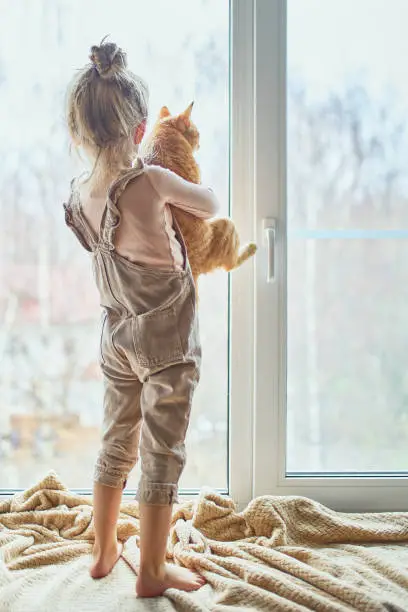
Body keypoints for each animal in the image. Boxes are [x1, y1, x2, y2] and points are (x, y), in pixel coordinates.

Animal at [140, 103, 255, 284]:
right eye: (198, 133)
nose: (200, 144)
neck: (164, 131)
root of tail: (193, 269)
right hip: (227, 224)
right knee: (230, 265)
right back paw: (250, 248)